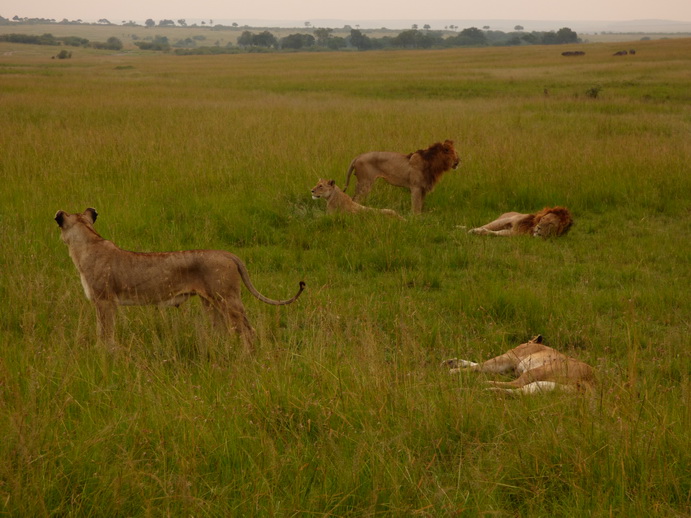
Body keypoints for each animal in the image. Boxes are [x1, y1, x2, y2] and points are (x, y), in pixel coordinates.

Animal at [55, 208, 305, 348]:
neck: (87, 242)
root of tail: (227, 253)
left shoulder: (104, 300)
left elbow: (104, 332)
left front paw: (104, 354)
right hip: (211, 302)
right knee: (223, 332)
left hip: (228, 299)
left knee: (247, 332)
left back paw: (246, 359)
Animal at [442, 335, 594, 395]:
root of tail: (592, 381)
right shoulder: (509, 368)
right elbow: (477, 364)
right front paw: (451, 362)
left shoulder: (507, 358)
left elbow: (481, 365)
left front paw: (453, 371)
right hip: (543, 385)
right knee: (519, 392)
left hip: (537, 371)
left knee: (514, 384)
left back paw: (480, 384)